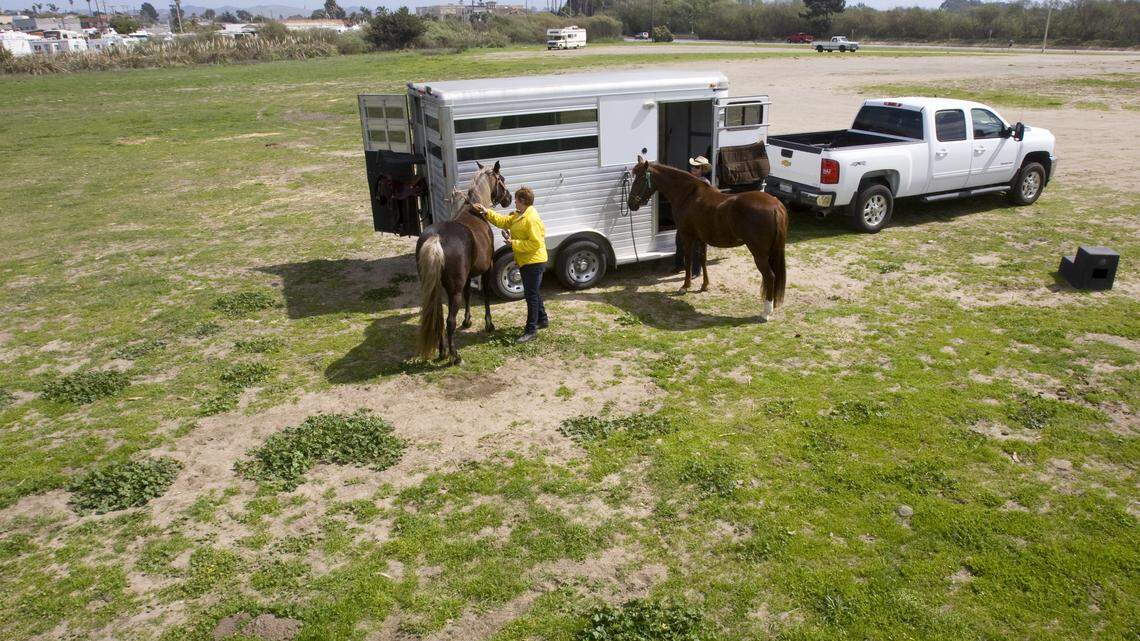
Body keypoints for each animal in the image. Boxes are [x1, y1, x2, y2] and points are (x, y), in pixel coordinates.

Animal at [415, 161, 512, 365]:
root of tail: (436, 239)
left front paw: (467, 321)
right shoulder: (487, 269)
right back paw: (455, 356)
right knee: (449, 321)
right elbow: (485, 296)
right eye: (502, 179)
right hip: (454, 290)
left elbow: (468, 294)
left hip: (435, 287)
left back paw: (443, 351)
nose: (508, 198)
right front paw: (489, 324)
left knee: (437, 316)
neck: (475, 212)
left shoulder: (468, 276)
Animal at [626, 155, 788, 321]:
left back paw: (766, 313)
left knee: (770, 276)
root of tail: (775, 206)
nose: (631, 203)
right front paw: (705, 285)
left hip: (759, 254)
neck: (688, 195)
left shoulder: (687, 235)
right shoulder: (701, 237)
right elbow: (702, 259)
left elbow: (688, 259)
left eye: (640, 178)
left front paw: (685, 286)